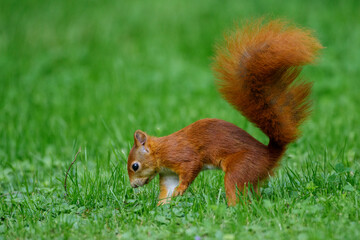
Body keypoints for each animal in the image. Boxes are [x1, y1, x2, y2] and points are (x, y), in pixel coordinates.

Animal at [127, 19, 324, 205]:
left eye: (135, 166)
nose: (133, 186)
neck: (161, 151)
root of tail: (269, 154)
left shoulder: (182, 155)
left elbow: (191, 167)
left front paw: (180, 190)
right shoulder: (169, 174)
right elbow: (166, 191)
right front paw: (161, 206)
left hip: (240, 169)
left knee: (236, 189)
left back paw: (232, 208)